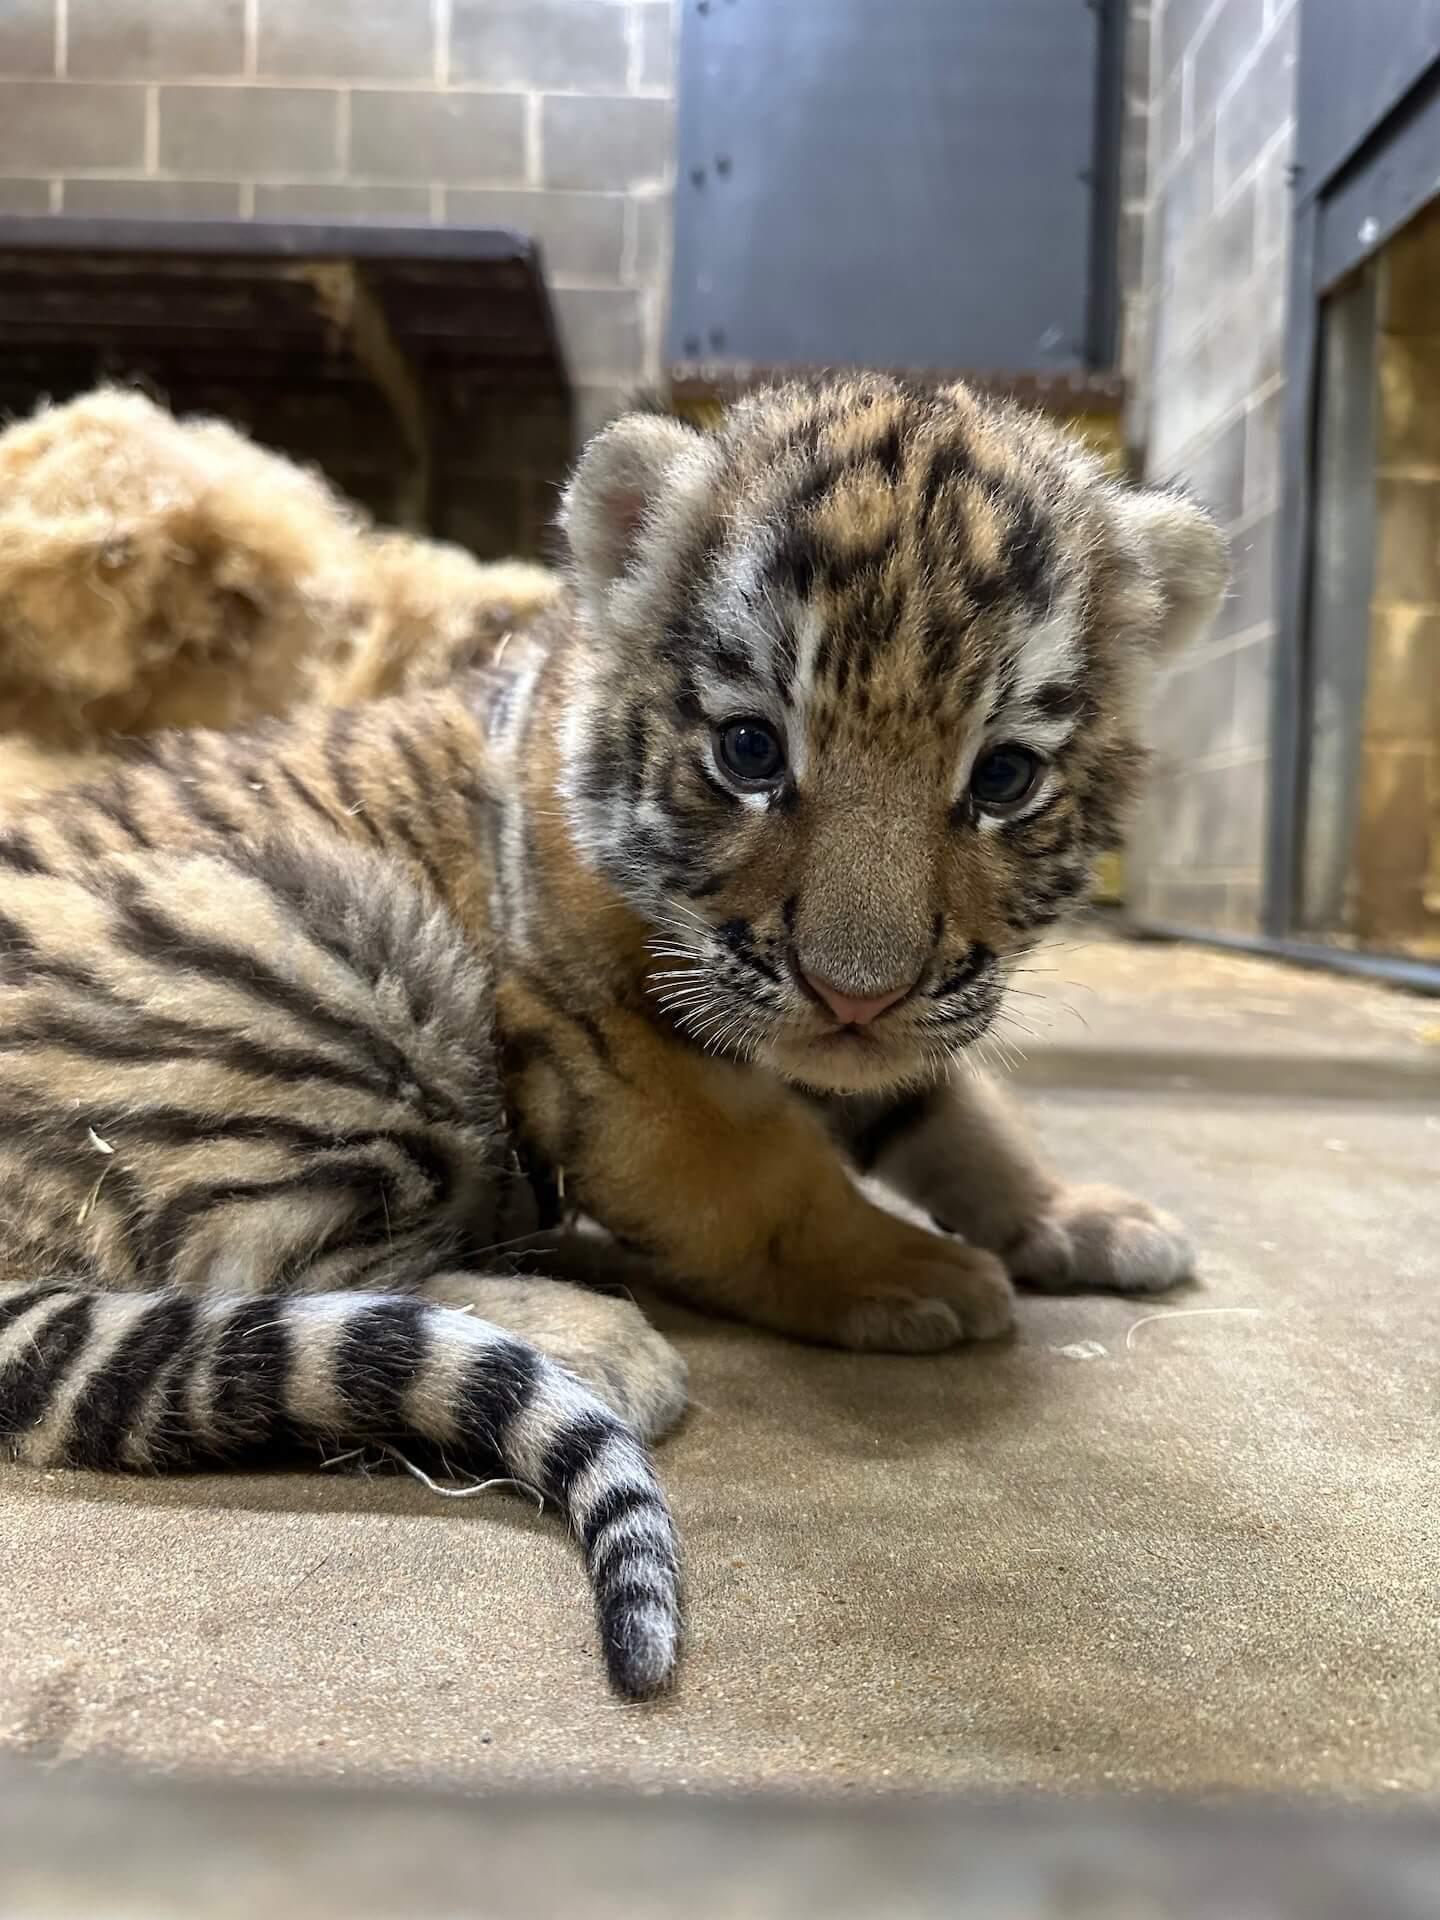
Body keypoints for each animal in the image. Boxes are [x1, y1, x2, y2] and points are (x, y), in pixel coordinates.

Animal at [0, 375, 1225, 1698]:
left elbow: (961, 1118)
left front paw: (1083, 1216)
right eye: (750, 750)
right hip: (319, 958)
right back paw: (596, 1339)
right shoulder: (618, 1062)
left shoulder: (893, 1031)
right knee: (252, 1269)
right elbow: (770, 1186)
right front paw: (915, 1273)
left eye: (1002, 778)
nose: (853, 996)